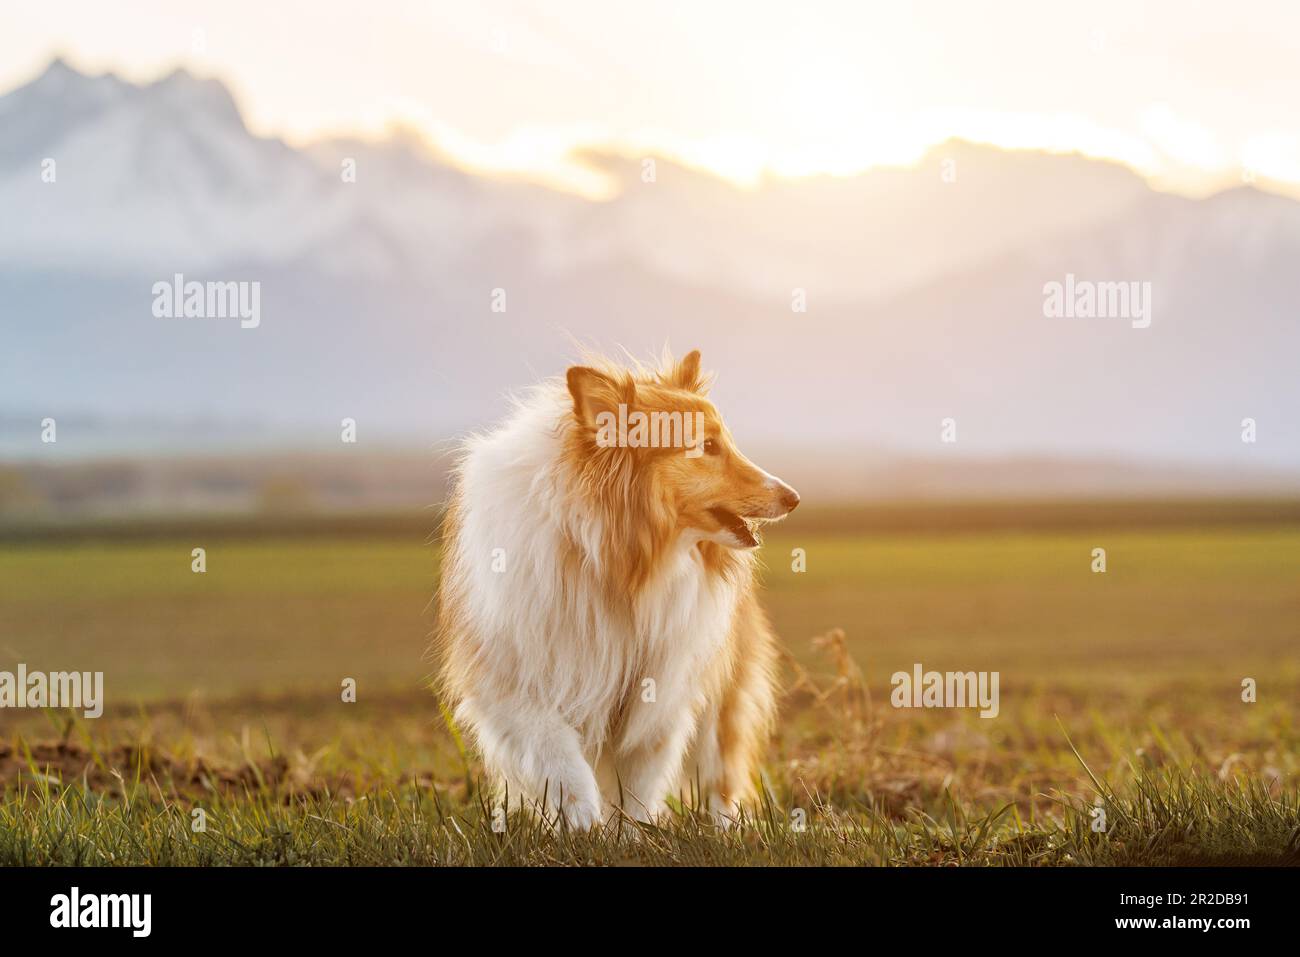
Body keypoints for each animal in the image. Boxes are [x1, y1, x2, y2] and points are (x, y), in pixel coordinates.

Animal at [436, 351, 795, 832]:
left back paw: (725, 829)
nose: (793, 497)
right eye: (706, 446)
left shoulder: (661, 693)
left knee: (719, 775)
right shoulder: (515, 678)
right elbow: (559, 757)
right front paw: (582, 821)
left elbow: (638, 782)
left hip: (719, 698)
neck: (617, 564)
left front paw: (628, 834)